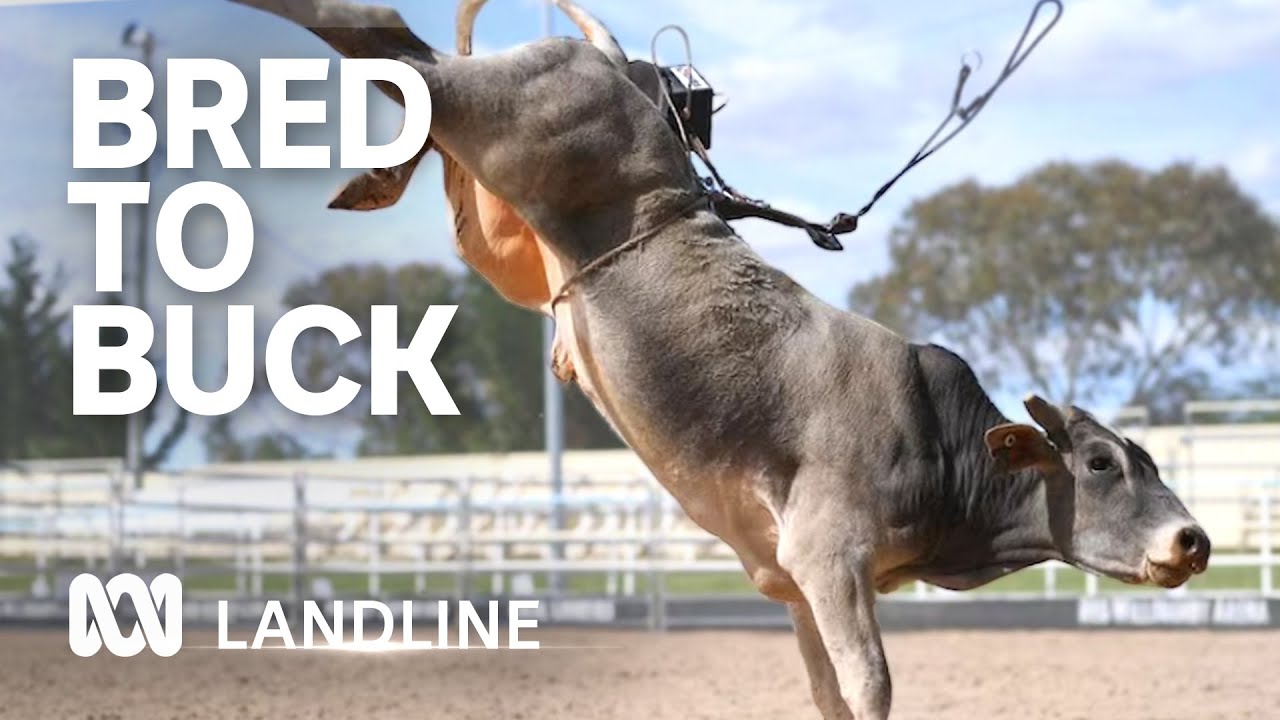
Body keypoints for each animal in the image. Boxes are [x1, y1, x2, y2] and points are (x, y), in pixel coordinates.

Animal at [227, 2, 1212, 717]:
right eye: (1100, 462)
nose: (1194, 541)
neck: (939, 439)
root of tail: (618, 72)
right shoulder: (831, 558)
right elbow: (870, 684)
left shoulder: (802, 585)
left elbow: (830, 690)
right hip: (503, 119)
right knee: (385, 33)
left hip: (492, 187)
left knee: (404, 56)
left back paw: (381, 173)